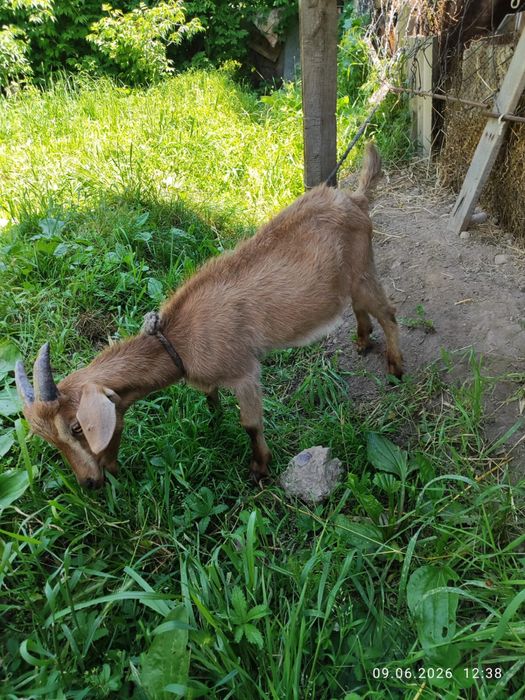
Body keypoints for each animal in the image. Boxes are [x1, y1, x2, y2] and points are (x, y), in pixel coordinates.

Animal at [15, 143, 402, 489]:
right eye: (48, 439)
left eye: (77, 427)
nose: (90, 482)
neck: (178, 339)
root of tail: (356, 199)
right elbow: (211, 399)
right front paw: (214, 423)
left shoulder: (245, 372)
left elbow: (251, 424)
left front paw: (259, 470)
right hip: (349, 278)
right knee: (360, 307)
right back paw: (362, 341)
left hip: (363, 268)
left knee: (389, 313)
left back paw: (395, 367)